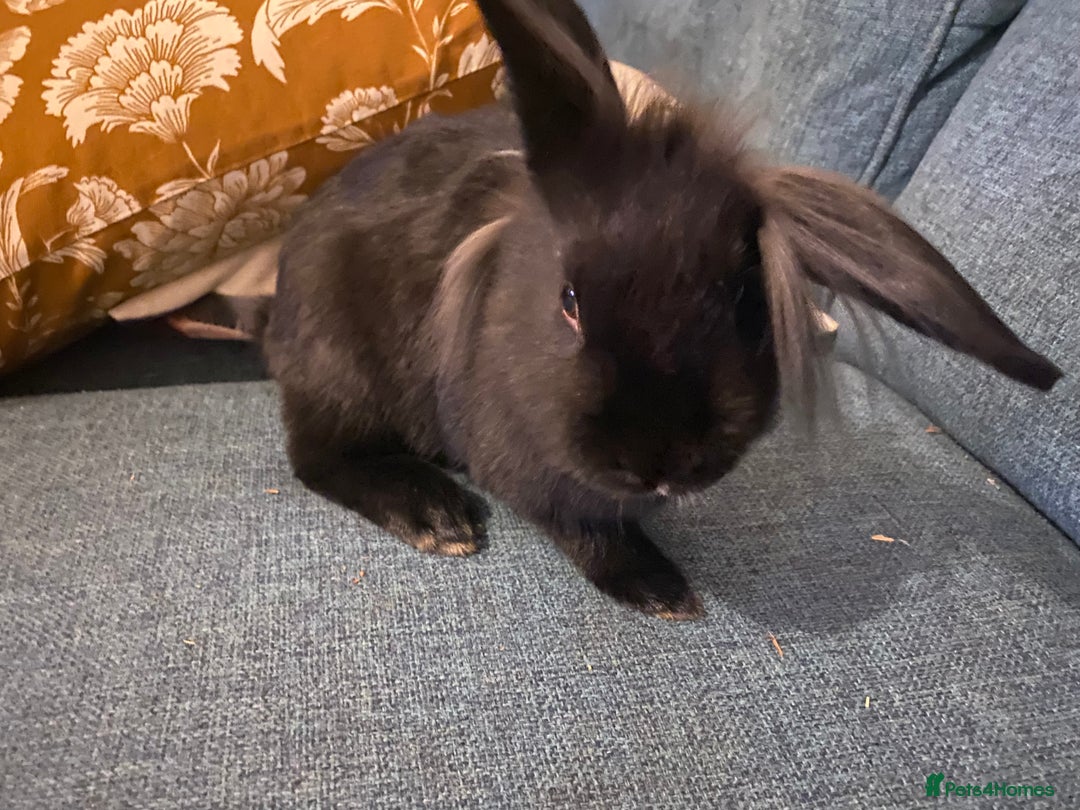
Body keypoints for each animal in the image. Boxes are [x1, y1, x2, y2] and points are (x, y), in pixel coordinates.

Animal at [261, 0, 1062, 620]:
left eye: (741, 299)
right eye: (570, 302)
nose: (661, 461)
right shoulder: (524, 464)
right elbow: (584, 528)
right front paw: (663, 591)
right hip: (340, 369)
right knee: (319, 457)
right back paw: (435, 515)